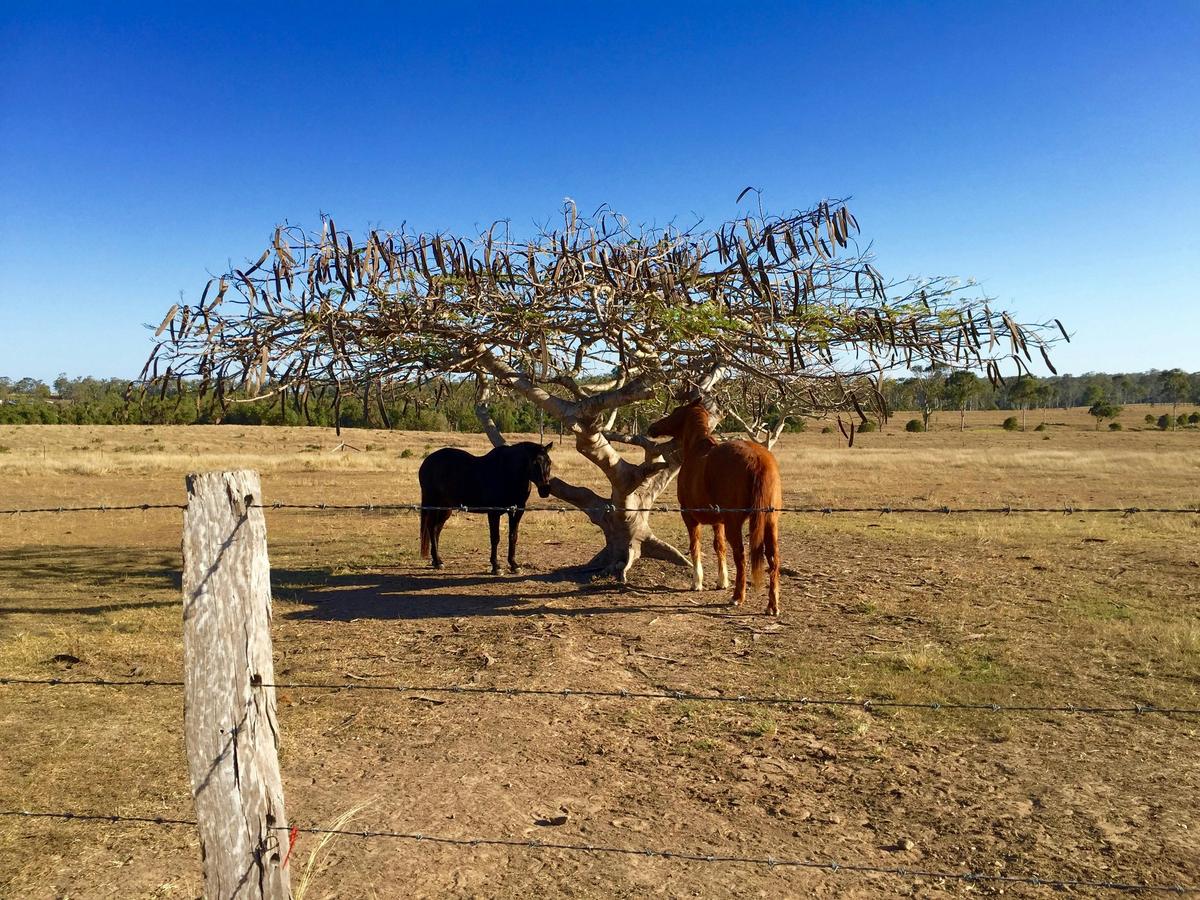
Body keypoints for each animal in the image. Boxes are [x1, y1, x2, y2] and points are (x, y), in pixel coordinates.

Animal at [418, 441, 554, 575]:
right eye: (535, 462)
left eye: (549, 462)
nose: (545, 490)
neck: (507, 473)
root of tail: (427, 461)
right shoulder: (493, 512)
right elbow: (495, 538)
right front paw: (496, 567)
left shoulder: (517, 511)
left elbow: (513, 536)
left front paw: (514, 565)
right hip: (433, 503)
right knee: (431, 528)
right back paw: (437, 561)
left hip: (445, 508)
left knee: (436, 529)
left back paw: (437, 561)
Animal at [647, 401, 783, 615]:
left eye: (676, 412)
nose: (653, 428)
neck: (697, 448)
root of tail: (758, 459)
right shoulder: (718, 521)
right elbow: (719, 547)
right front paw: (722, 581)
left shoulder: (690, 517)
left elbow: (695, 546)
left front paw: (697, 582)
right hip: (770, 522)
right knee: (773, 559)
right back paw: (772, 605)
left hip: (735, 524)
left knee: (741, 556)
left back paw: (737, 597)